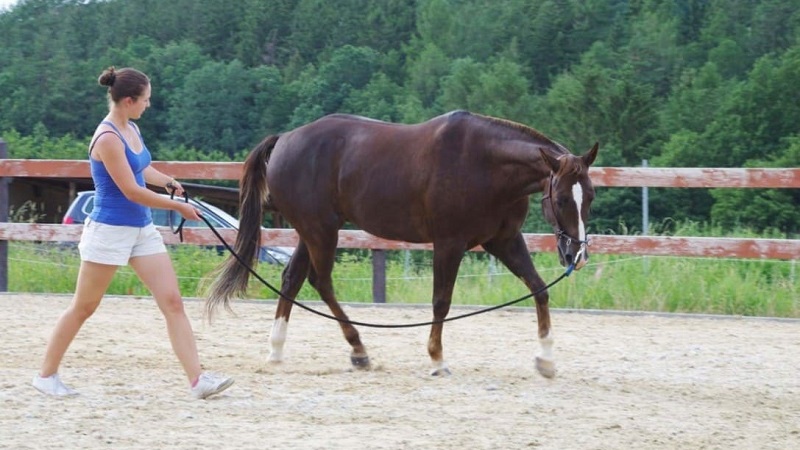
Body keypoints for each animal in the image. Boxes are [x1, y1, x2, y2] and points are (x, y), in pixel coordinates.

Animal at [206, 110, 592, 378]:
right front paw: (437, 359)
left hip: (311, 230)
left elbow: (539, 288)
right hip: (321, 230)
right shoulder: (449, 243)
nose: (576, 254)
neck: (485, 165)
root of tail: (285, 139)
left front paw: (545, 359)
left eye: (589, 196)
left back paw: (277, 350)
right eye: (561, 199)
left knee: (293, 279)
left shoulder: (504, 241)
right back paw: (358, 349)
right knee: (320, 281)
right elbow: (441, 302)